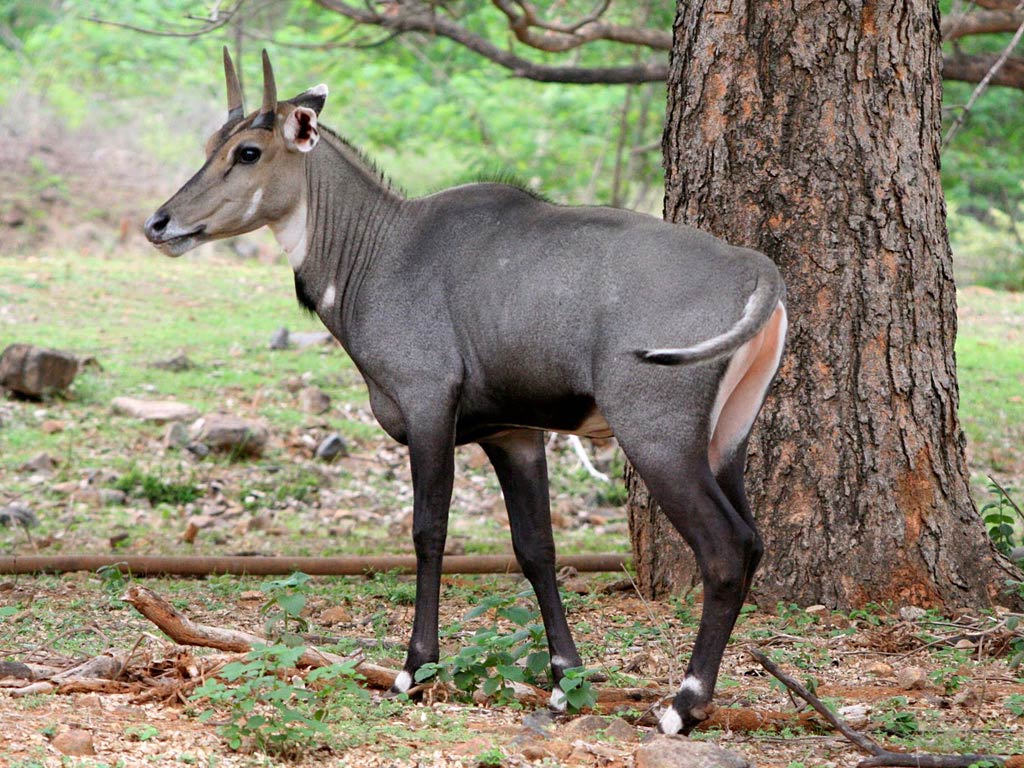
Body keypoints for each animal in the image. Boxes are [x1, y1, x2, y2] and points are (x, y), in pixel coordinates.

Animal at [144, 48, 786, 733]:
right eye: (212, 144)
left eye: (248, 152)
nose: (160, 223)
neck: (377, 253)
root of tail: (758, 270)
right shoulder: (514, 433)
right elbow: (536, 548)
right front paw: (564, 684)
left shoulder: (429, 405)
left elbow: (429, 532)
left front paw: (414, 670)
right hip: (727, 438)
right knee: (753, 542)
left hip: (657, 434)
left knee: (725, 550)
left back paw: (682, 706)